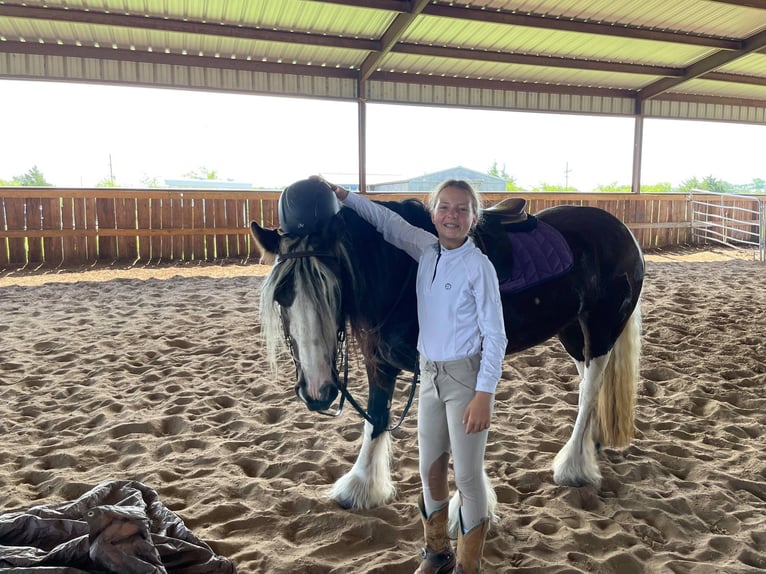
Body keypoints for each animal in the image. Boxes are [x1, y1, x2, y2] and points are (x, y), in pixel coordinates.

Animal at [250, 179, 640, 512]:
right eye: (282, 297)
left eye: (334, 290)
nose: (318, 391)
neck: (398, 270)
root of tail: (622, 231)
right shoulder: (381, 362)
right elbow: (377, 417)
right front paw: (361, 487)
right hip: (573, 334)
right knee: (588, 387)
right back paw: (590, 444)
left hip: (601, 330)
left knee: (589, 391)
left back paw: (573, 465)